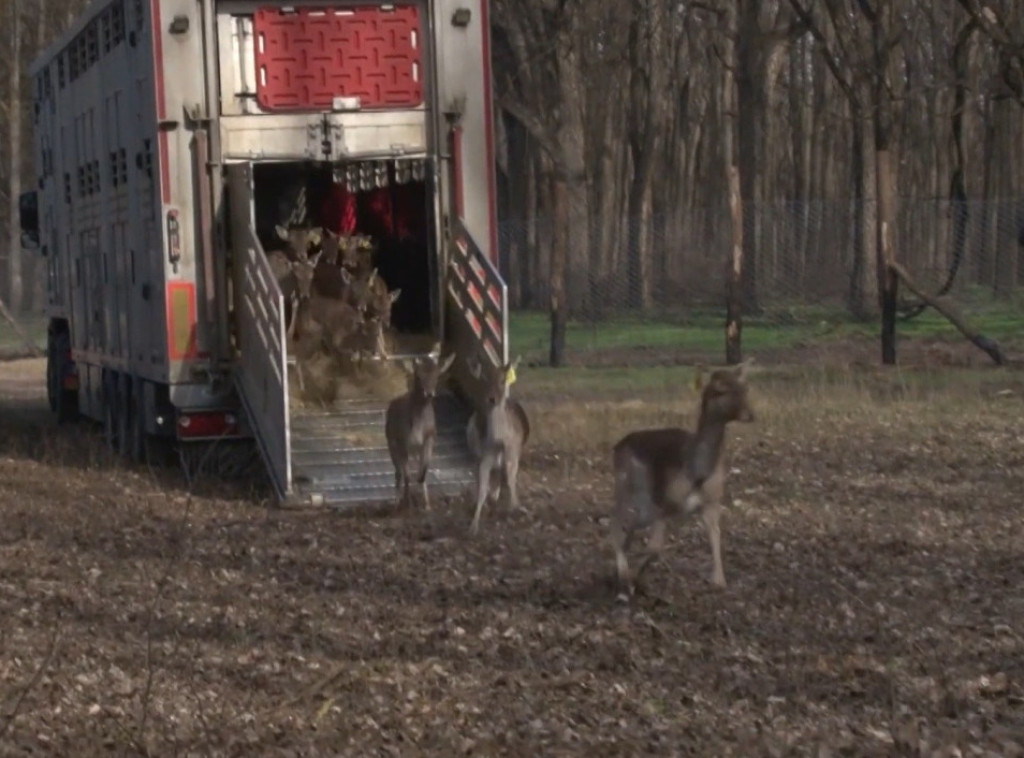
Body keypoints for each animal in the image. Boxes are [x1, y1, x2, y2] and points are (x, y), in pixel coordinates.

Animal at [385, 350, 456, 510]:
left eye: (437, 375)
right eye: (418, 375)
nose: (429, 393)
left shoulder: (430, 437)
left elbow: (423, 473)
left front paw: (425, 505)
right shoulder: (401, 441)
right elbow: (407, 476)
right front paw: (407, 504)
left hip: (415, 449)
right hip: (390, 441)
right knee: (398, 472)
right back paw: (396, 501)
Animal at [464, 358, 528, 536]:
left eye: (503, 380)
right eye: (484, 378)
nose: (492, 399)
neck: (499, 441)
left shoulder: (513, 452)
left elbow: (511, 480)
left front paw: (515, 508)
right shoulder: (483, 458)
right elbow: (482, 489)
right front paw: (473, 526)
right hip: (475, 456)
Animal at [606, 360, 753, 598]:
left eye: (745, 388)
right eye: (719, 390)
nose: (749, 414)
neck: (697, 473)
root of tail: (617, 446)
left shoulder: (712, 501)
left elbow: (715, 536)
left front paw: (719, 580)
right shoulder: (663, 502)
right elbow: (655, 547)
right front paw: (633, 579)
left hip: (643, 506)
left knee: (627, 528)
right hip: (627, 488)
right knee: (615, 523)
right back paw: (623, 577)